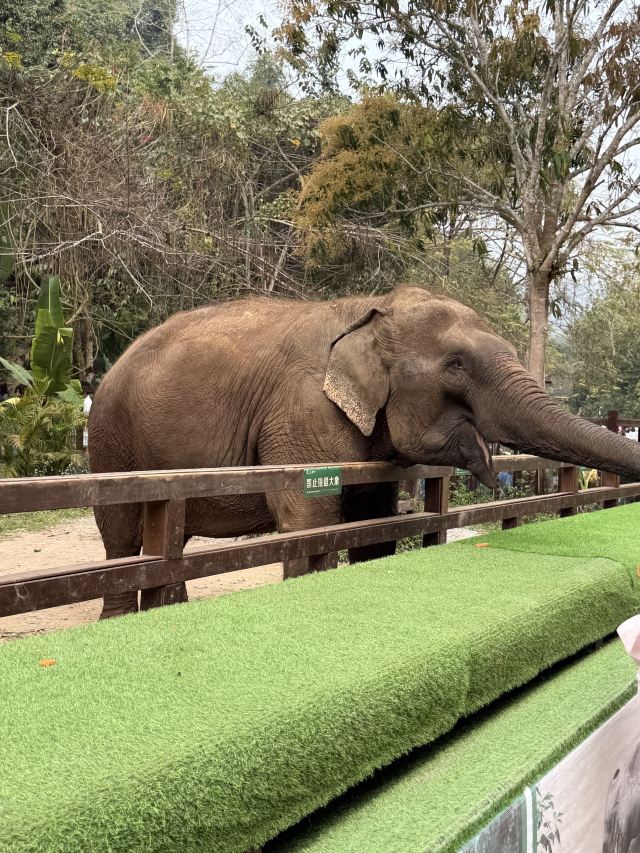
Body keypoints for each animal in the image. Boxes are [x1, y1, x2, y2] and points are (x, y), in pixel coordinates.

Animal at [88, 285, 640, 618]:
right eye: (456, 365)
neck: (371, 307)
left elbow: (374, 526)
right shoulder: (301, 415)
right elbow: (308, 525)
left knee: (169, 542)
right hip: (112, 441)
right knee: (122, 540)